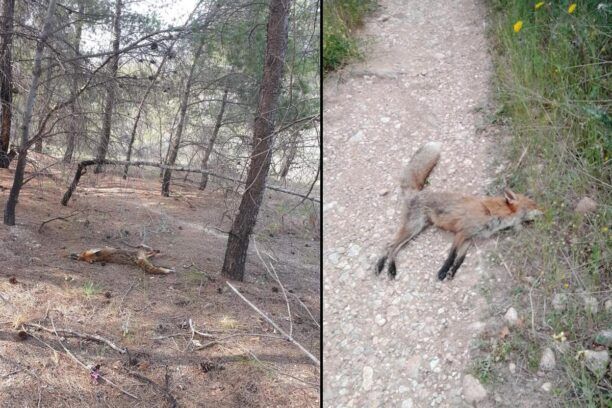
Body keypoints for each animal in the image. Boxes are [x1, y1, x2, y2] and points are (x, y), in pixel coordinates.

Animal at [376, 143, 544, 280]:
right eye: (533, 205)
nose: (546, 213)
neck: (491, 213)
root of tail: (416, 193)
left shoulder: (469, 238)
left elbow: (460, 259)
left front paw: (452, 273)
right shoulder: (461, 233)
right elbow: (451, 255)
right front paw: (443, 271)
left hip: (416, 230)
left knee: (392, 246)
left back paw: (385, 266)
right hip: (413, 228)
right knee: (390, 245)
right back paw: (386, 267)